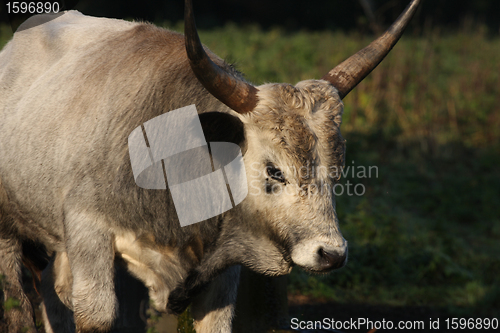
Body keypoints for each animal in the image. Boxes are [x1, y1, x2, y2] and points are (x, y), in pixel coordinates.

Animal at [0, 0, 422, 330]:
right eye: (274, 170)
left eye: (338, 171)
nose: (331, 254)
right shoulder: (89, 233)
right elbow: (97, 317)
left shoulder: (222, 275)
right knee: (18, 305)